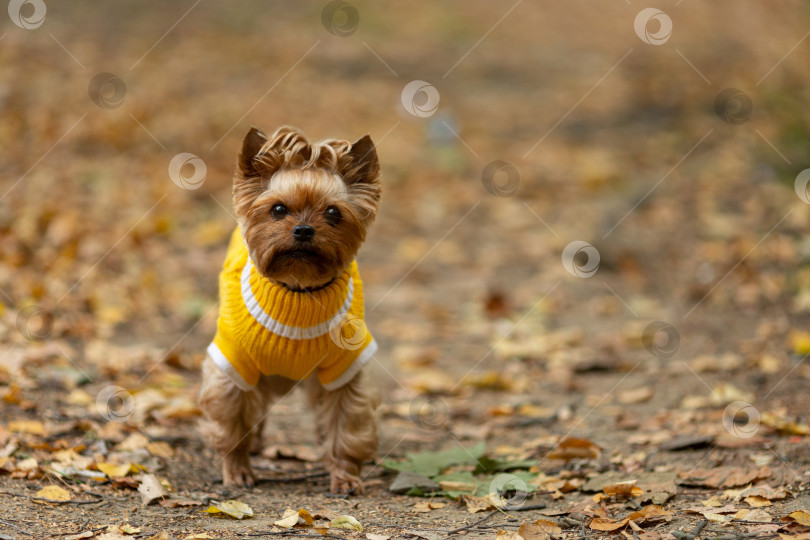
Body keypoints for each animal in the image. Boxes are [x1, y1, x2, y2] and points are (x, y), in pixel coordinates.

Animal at [199, 123, 382, 494]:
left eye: (333, 213)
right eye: (278, 210)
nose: (303, 229)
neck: (298, 291)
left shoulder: (346, 368)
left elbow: (346, 426)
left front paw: (345, 477)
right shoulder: (234, 364)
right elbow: (232, 423)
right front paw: (237, 470)